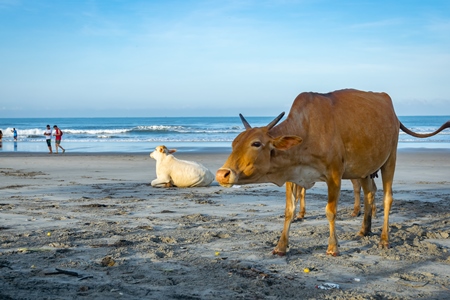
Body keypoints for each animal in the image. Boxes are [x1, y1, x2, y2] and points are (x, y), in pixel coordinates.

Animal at [216, 88, 448, 255]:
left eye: (256, 143)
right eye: (234, 143)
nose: (222, 174)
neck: (306, 133)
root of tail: (389, 107)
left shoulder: (334, 174)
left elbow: (330, 211)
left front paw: (333, 247)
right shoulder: (293, 175)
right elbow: (289, 211)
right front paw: (281, 247)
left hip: (390, 159)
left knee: (388, 198)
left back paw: (384, 239)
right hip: (364, 169)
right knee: (369, 193)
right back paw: (364, 230)